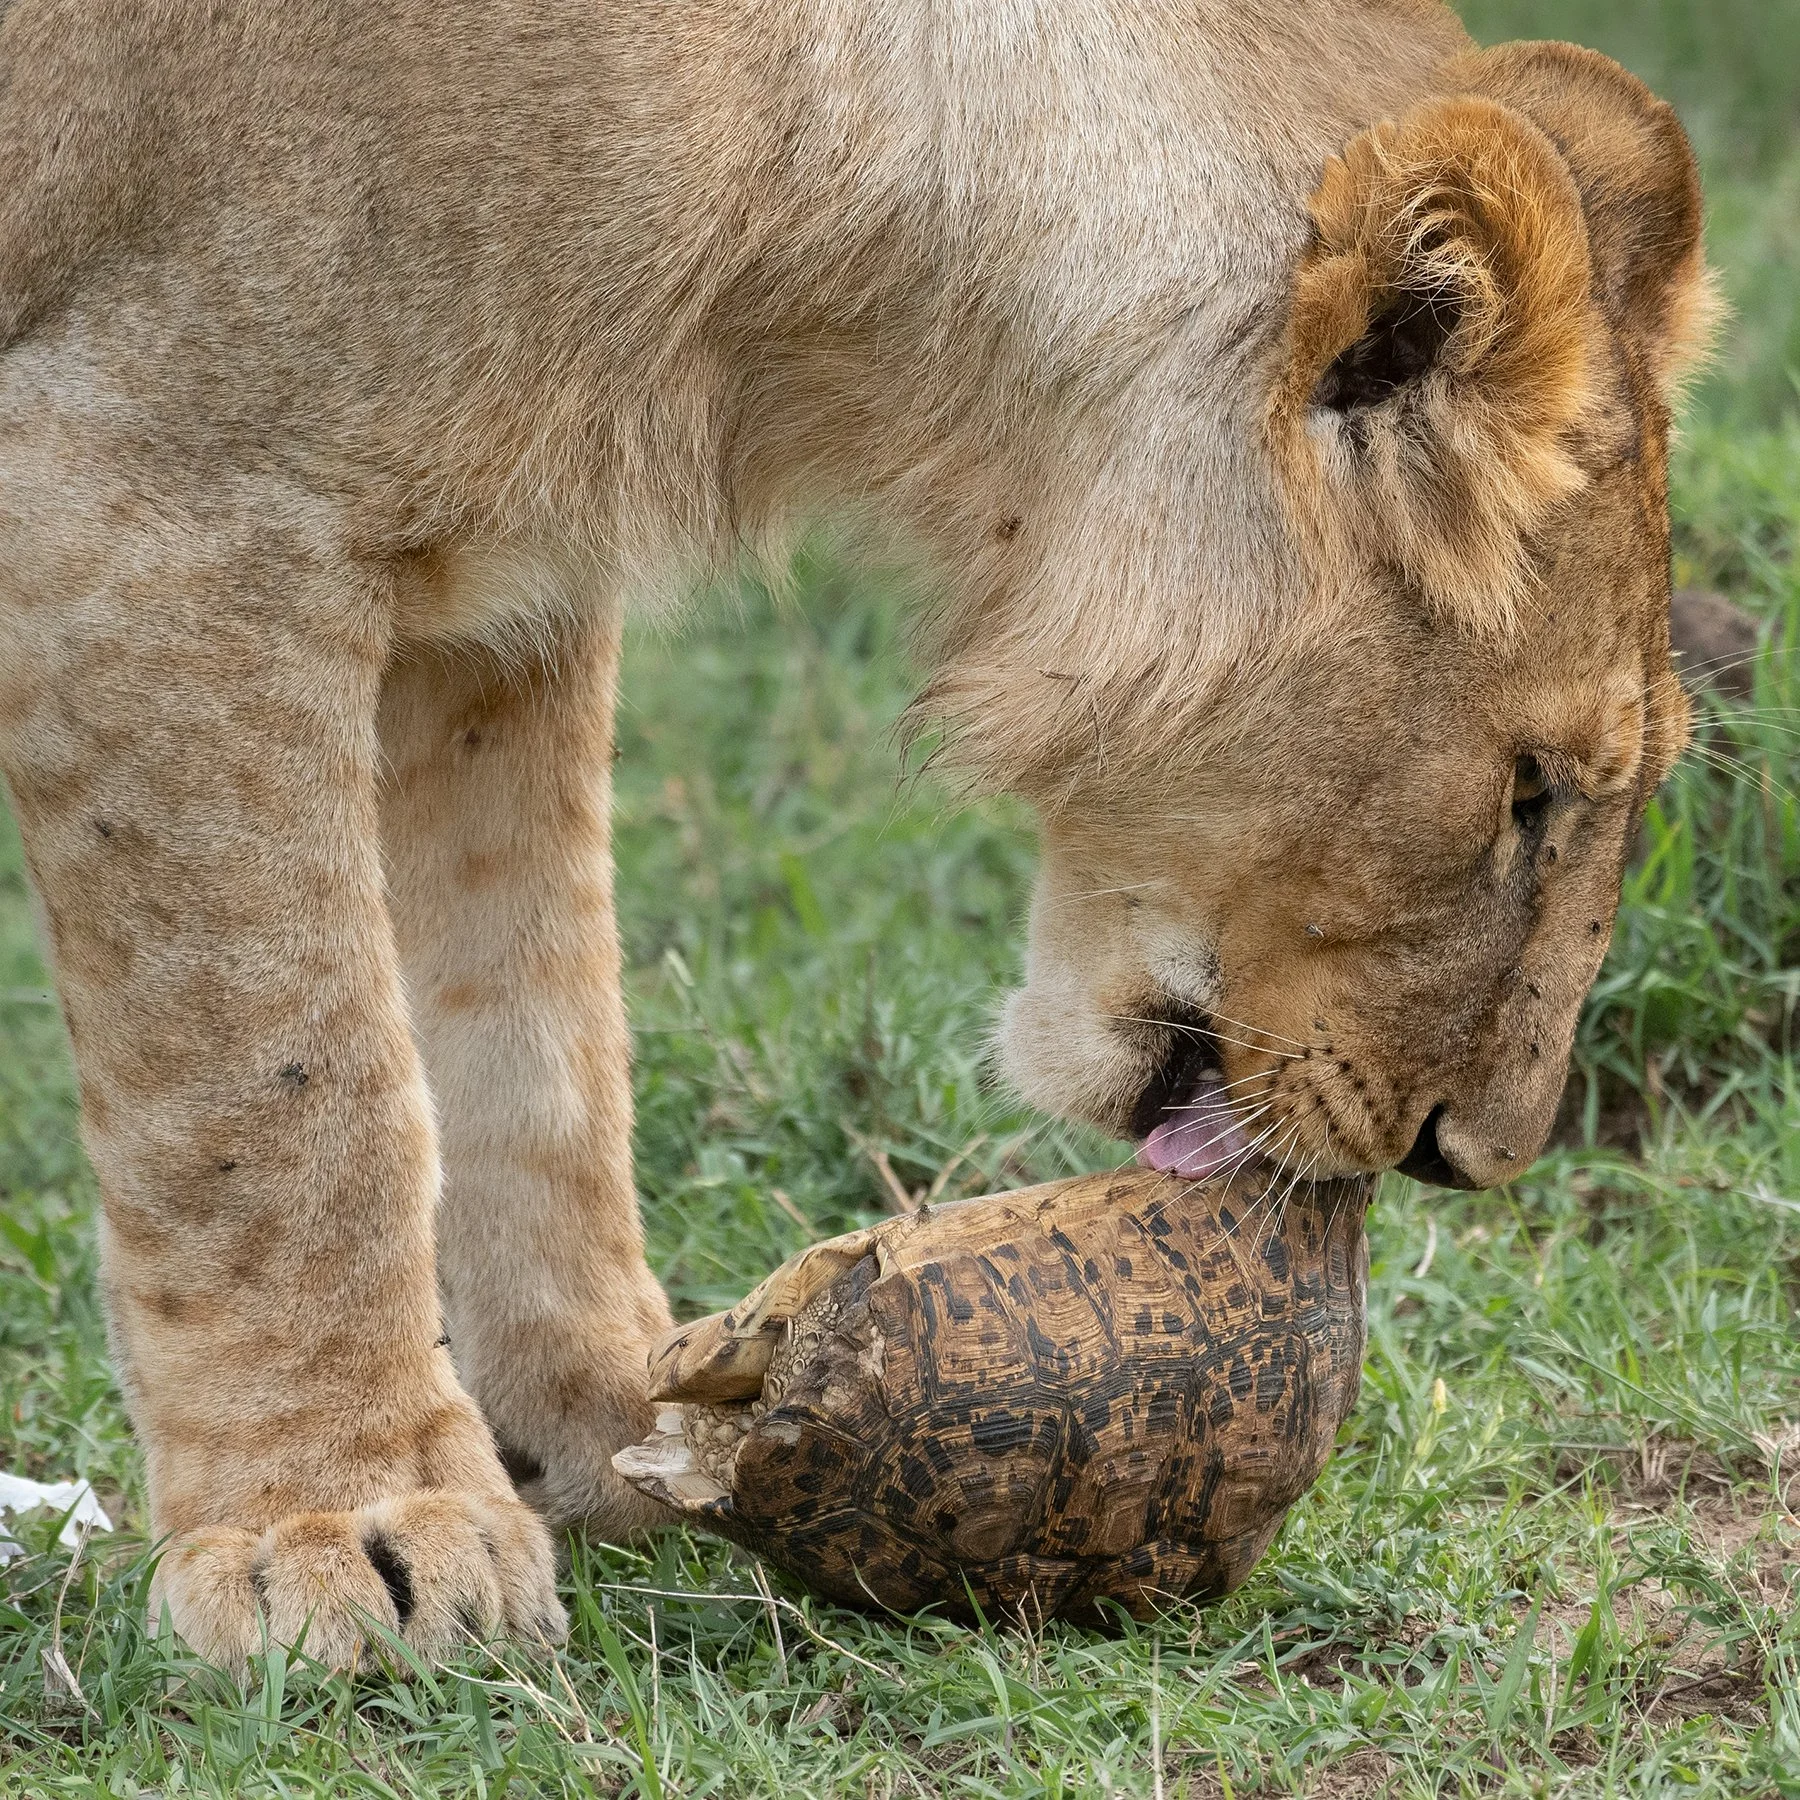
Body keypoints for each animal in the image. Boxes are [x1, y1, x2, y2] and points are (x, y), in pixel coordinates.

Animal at [0, 0, 1712, 1666]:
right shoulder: (162, 491)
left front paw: (611, 1425)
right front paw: (340, 1528)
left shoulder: (494, 576)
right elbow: (281, 1087)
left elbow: (534, 1034)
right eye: (1530, 791)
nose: (1473, 1161)